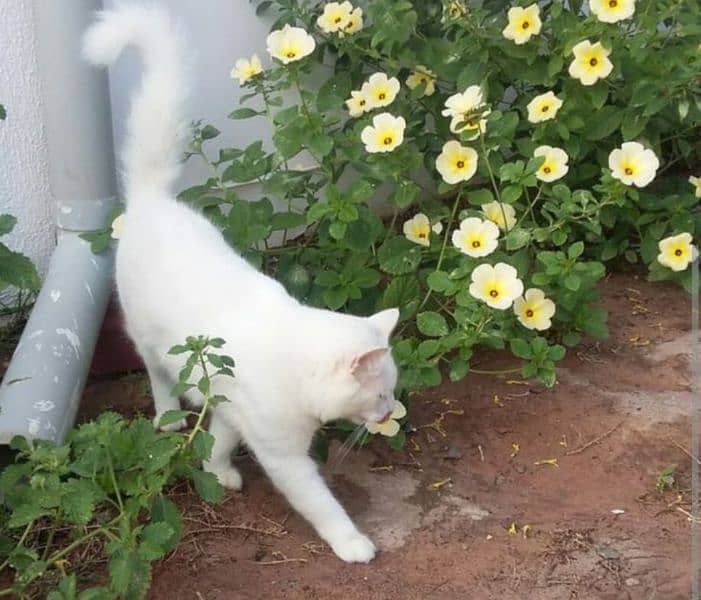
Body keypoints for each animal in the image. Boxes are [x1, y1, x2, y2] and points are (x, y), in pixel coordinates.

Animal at [80, 5, 400, 564]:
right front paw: (353, 543)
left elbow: (222, 439)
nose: (387, 413)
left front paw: (219, 471)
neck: (295, 365)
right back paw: (169, 417)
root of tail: (152, 200)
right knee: (158, 378)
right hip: (149, 340)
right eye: (380, 394)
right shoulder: (284, 456)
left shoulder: (231, 406)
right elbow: (322, 505)